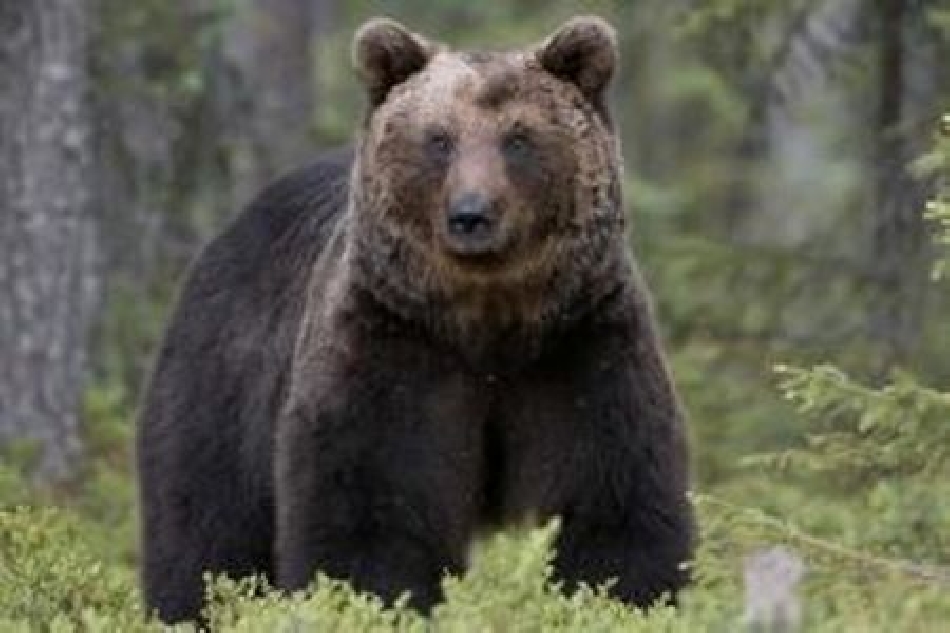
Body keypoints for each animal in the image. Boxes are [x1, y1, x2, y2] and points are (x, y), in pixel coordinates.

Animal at [138, 14, 696, 624]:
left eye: (518, 138)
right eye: (439, 139)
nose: (472, 214)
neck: (489, 321)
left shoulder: (580, 343)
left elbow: (613, 499)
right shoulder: (392, 344)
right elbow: (372, 506)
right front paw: (373, 601)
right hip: (225, 379)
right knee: (204, 529)